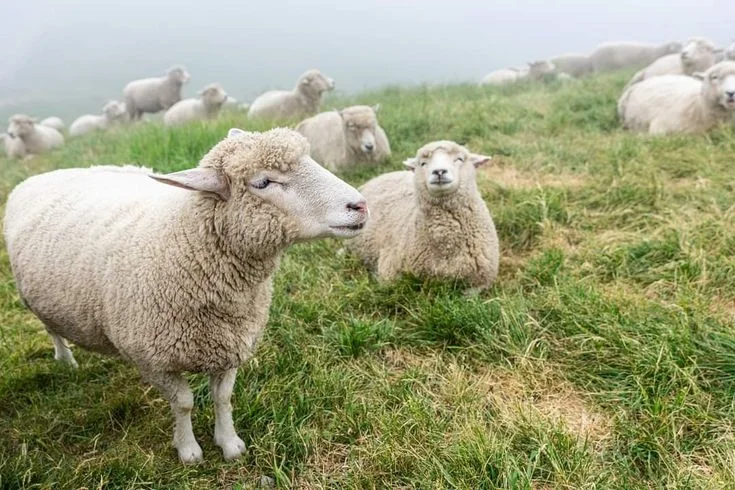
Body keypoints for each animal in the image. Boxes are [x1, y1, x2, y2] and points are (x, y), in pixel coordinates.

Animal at [3, 127, 368, 464]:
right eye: (263, 182)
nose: (361, 205)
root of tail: (42, 175)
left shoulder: (230, 345)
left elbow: (222, 398)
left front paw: (229, 443)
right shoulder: (153, 360)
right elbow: (183, 403)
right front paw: (189, 450)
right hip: (33, 299)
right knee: (51, 329)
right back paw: (65, 360)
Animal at [345, 140, 498, 292]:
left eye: (459, 159)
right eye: (423, 163)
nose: (439, 171)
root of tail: (383, 175)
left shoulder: (481, 280)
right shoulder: (390, 272)